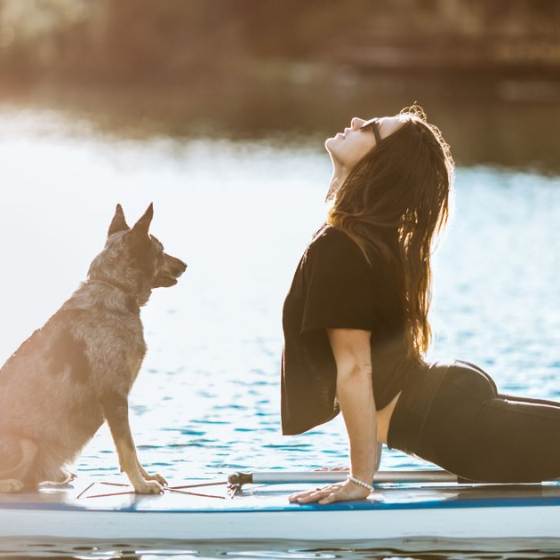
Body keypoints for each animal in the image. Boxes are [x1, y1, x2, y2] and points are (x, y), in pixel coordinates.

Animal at [0, 203, 188, 492]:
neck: (115, 288)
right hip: (25, 444)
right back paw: (13, 483)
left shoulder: (119, 398)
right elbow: (128, 449)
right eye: (161, 249)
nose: (185, 265)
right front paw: (141, 484)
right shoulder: (114, 396)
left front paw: (146, 477)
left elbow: (133, 451)